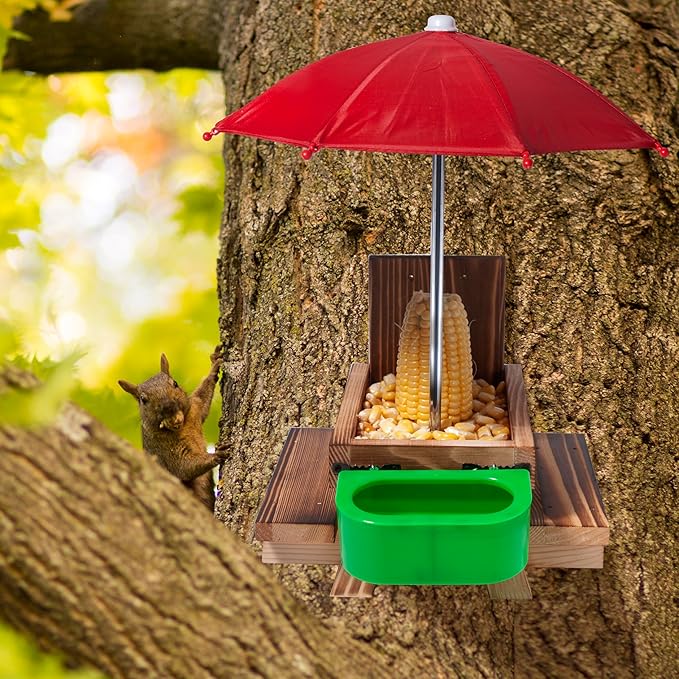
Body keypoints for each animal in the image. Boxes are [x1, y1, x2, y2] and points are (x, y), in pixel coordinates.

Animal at [118, 349, 225, 511]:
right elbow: (183, 466)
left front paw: (214, 366)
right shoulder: (163, 449)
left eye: (175, 383)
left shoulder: (195, 408)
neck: (182, 425)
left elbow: (203, 394)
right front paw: (217, 454)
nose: (168, 406)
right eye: (143, 400)